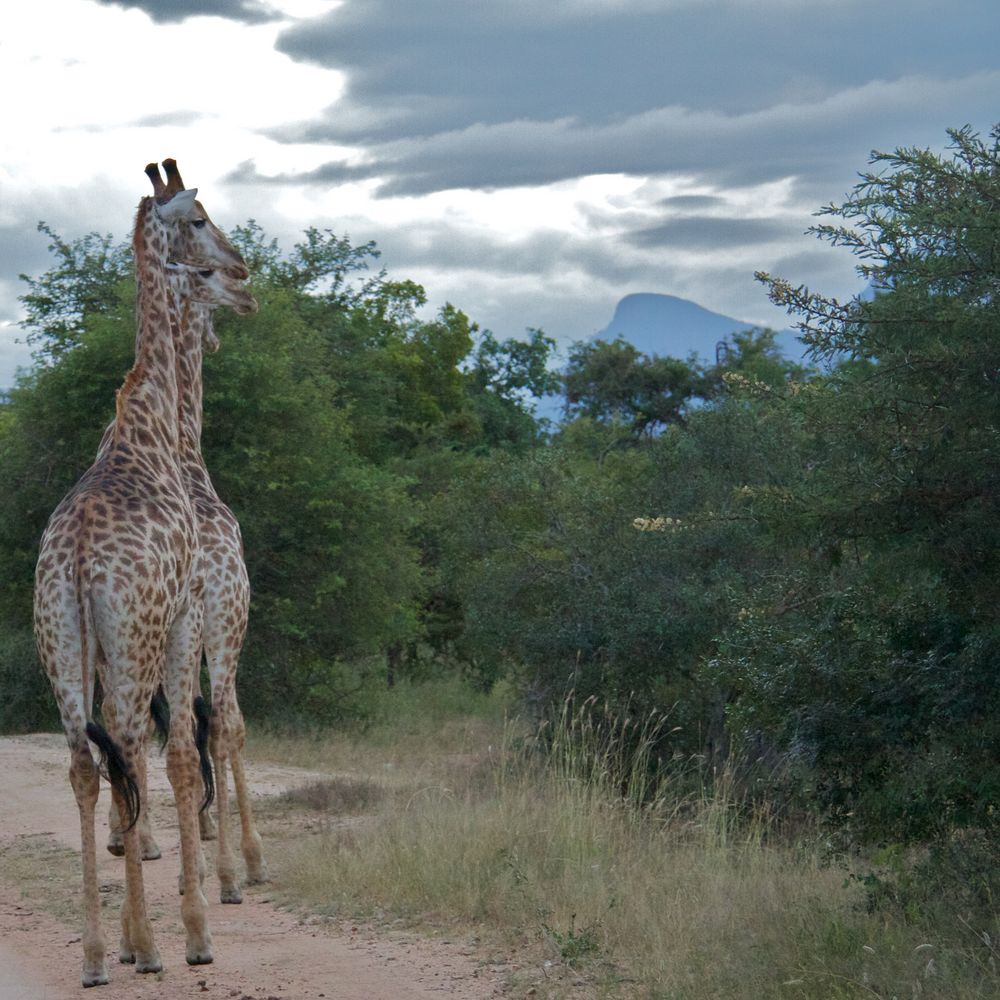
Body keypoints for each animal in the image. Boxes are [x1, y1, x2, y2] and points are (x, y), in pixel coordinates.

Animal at [32, 182, 241, 984]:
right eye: (200, 221)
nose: (243, 274)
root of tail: (78, 556)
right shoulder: (185, 615)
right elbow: (179, 752)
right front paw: (193, 929)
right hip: (137, 634)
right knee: (137, 746)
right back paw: (152, 943)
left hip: (61, 643)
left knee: (87, 765)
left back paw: (98, 953)